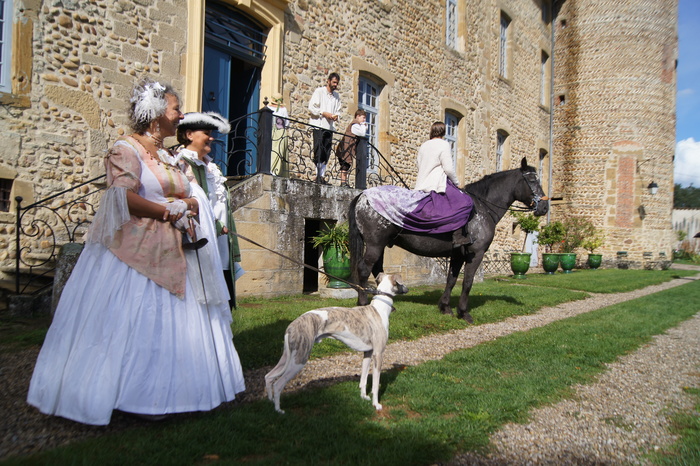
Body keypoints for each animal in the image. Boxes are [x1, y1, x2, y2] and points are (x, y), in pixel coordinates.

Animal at [264, 274, 408, 412]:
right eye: (401, 282)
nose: (408, 289)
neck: (379, 308)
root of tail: (291, 326)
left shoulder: (368, 353)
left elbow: (363, 378)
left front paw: (364, 396)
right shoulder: (378, 353)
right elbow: (375, 385)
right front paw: (376, 404)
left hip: (287, 356)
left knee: (269, 376)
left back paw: (270, 401)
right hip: (299, 359)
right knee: (278, 384)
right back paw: (279, 410)